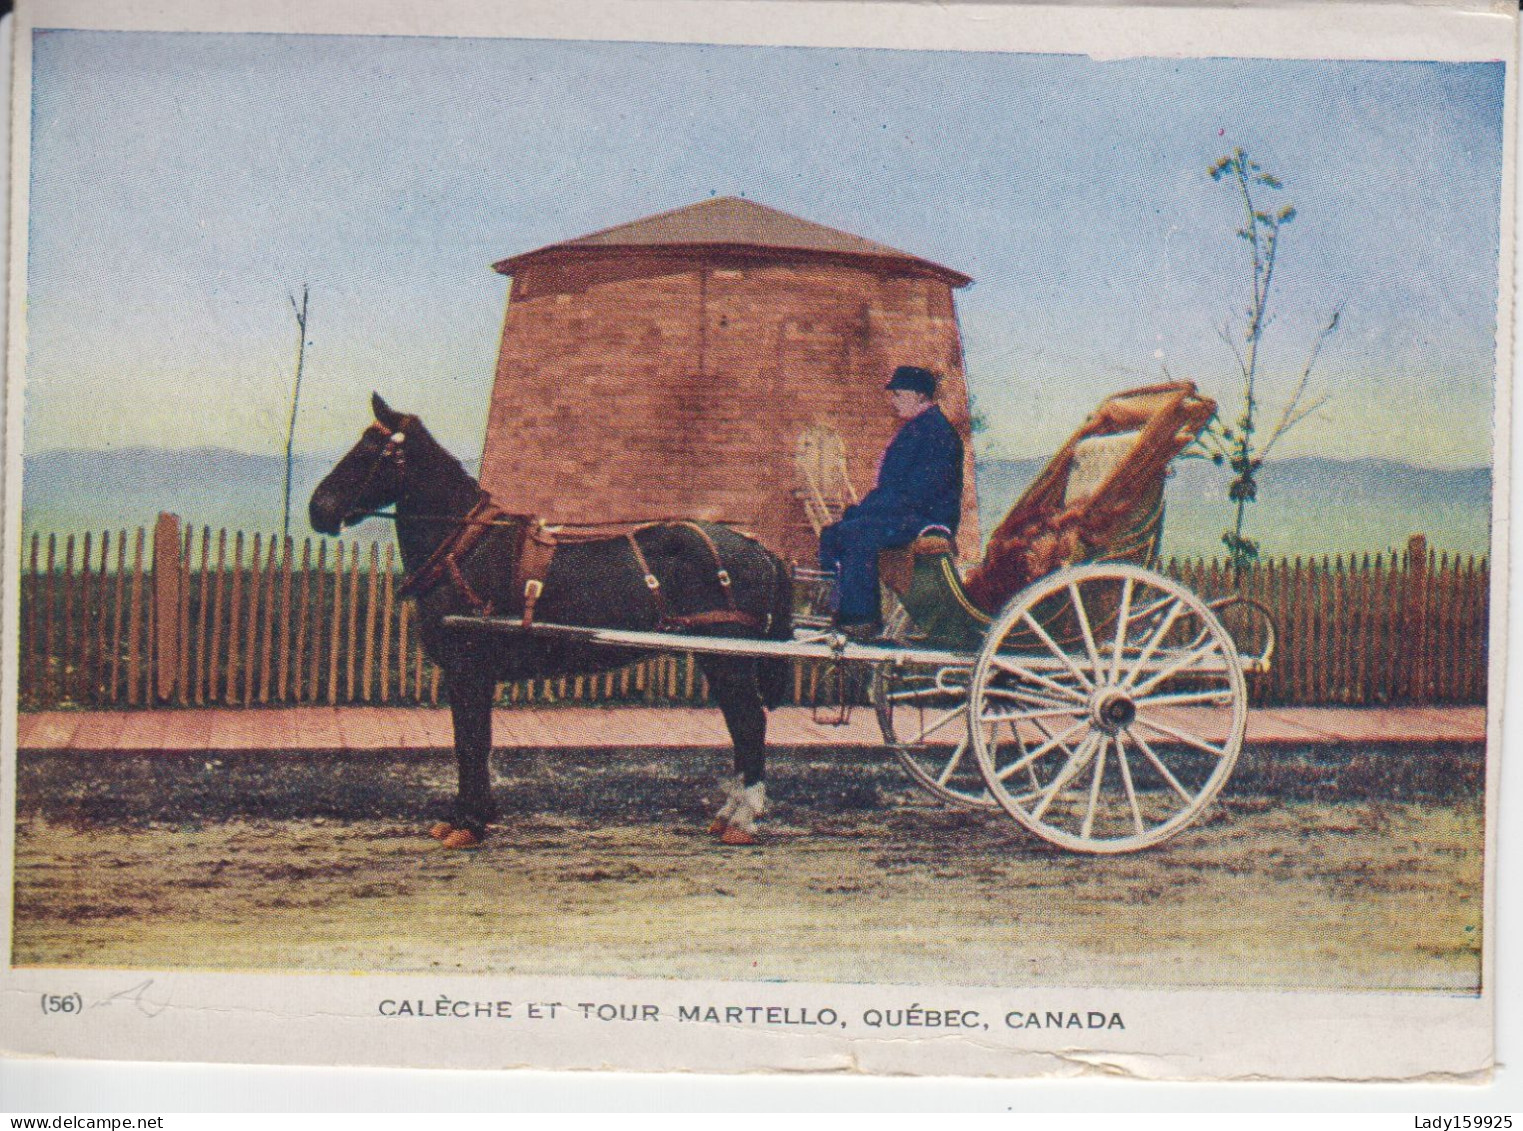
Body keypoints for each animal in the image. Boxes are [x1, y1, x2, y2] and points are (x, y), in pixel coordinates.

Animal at [303, 398, 791, 852]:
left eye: (375, 451)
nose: (317, 510)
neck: (466, 549)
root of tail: (759, 548)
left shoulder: (469, 671)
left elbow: (471, 743)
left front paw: (470, 823)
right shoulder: (469, 676)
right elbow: (470, 742)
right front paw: (466, 816)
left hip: (728, 659)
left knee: (749, 724)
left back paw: (742, 820)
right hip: (718, 657)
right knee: (740, 725)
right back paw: (728, 815)